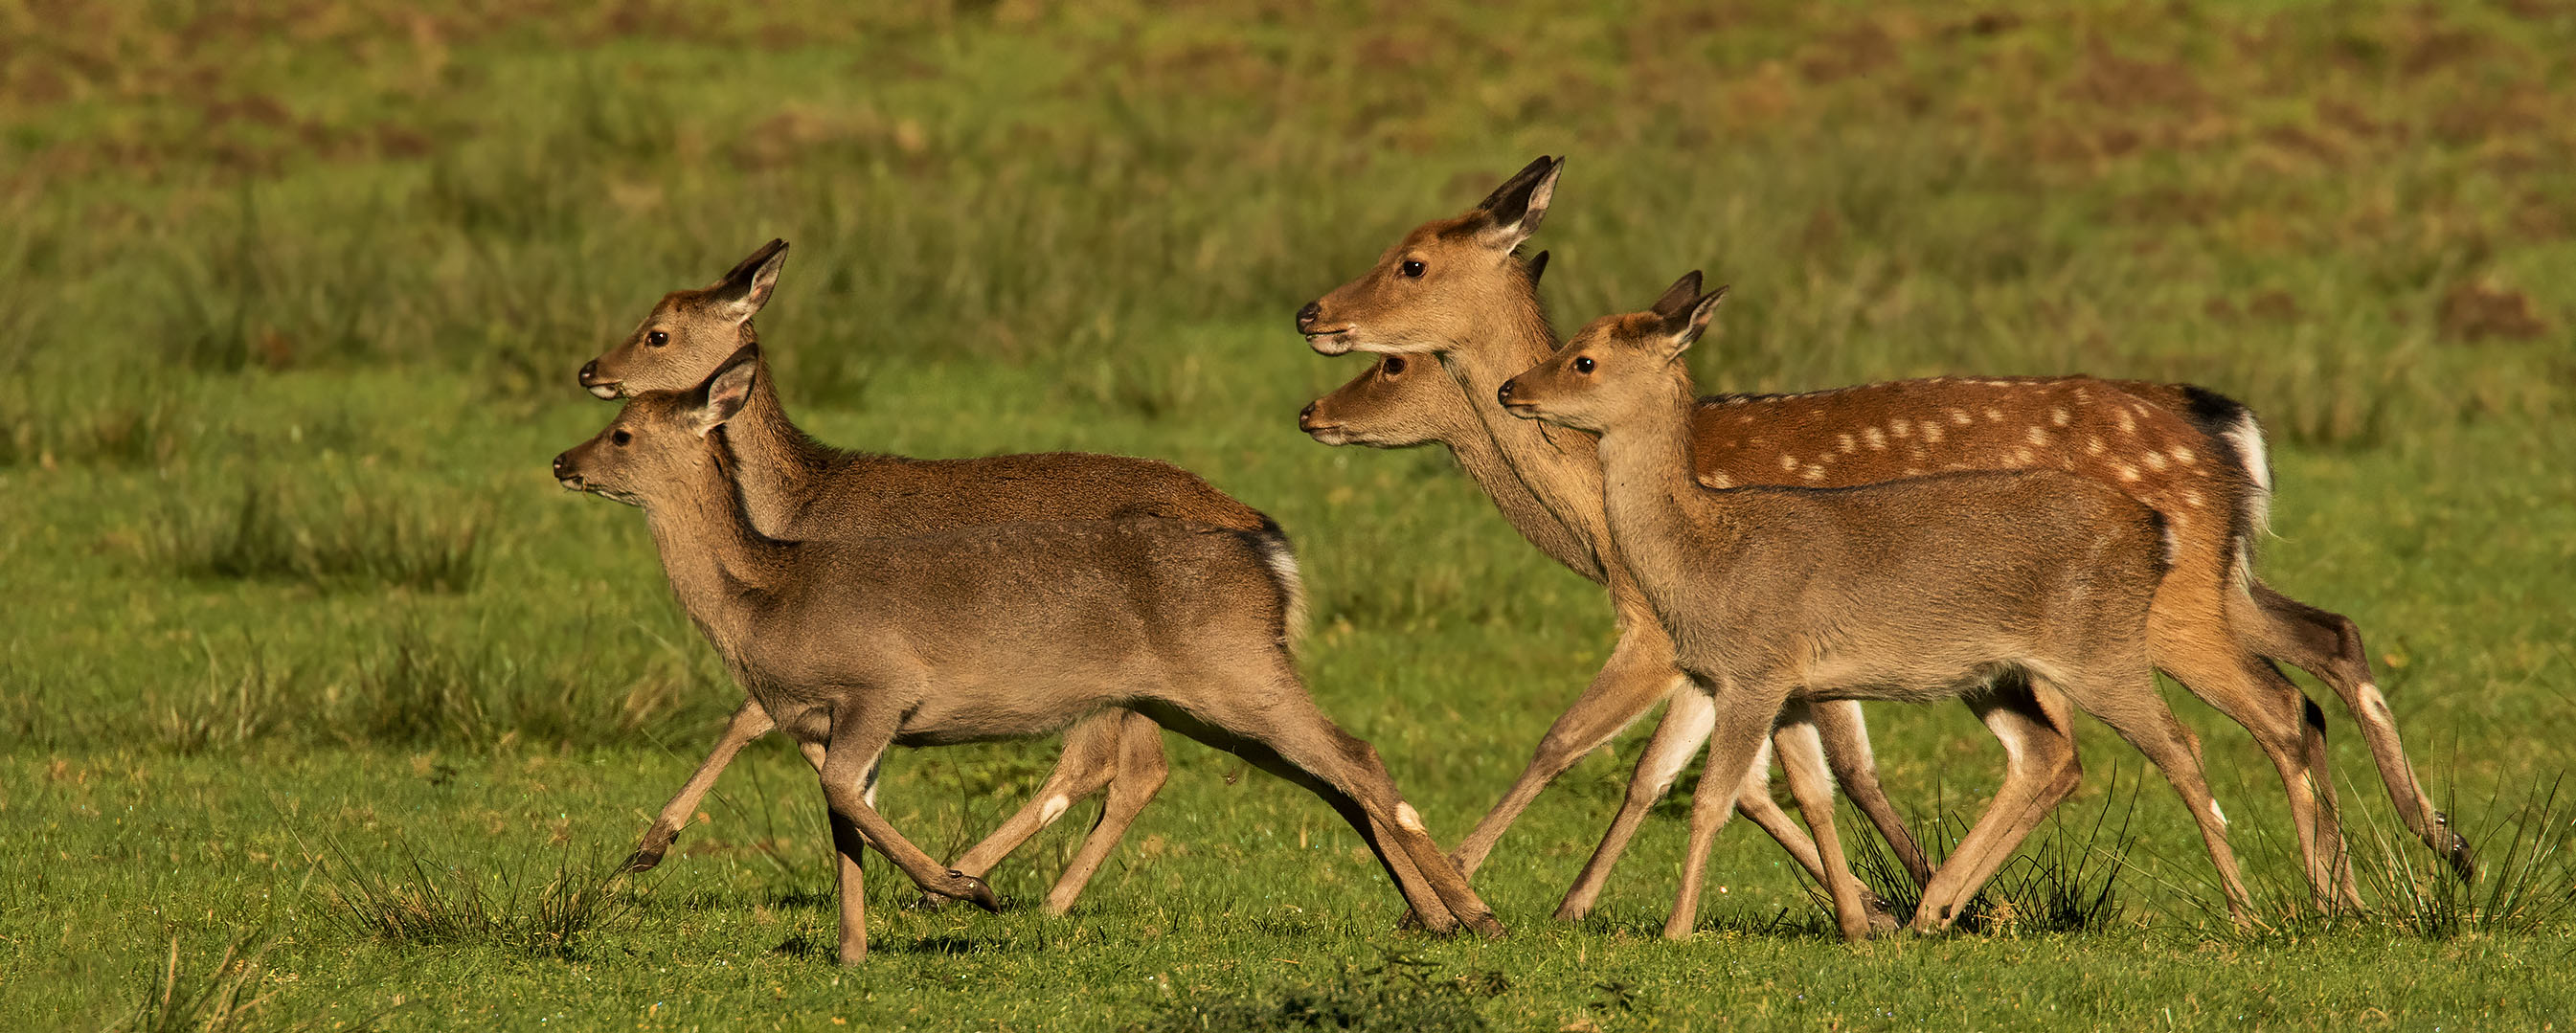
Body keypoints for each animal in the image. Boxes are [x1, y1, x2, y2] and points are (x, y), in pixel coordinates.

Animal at [551, 355, 1503, 968]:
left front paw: (962, 890)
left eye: (623, 432)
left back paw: (1476, 914)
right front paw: (852, 954)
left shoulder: (883, 687)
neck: (766, 596)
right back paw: (1438, 915)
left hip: (1238, 675)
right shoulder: (817, 721)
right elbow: (840, 815)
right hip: (1206, 699)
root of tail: (1270, 556)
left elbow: (843, 797)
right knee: (1329, 774)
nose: (563, 458)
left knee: (1357, 756)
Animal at [581, 239, 1226, 911]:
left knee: (1102, 763)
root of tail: (1240, 512)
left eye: (658, 332)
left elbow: (750, 717)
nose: (589, 370)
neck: (792, 508)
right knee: (1141, 769)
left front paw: (648, 848)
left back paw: (976, 884)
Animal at [1298, 325, 1936, 916]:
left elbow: (1571, 744)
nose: (1310, 412)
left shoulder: (1673, 641)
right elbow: (1732, 783)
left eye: (1393, 362)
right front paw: (1872, 904)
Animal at [1503, 275, 2246, 942]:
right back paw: (1935, 910)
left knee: (2180, 746)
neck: (1705, 555)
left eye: (1583, 359)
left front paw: (1676, 931)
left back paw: (2246, 913)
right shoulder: (1779, 685)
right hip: (2000, 672)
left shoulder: (1756, 670)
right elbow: (1804, 791)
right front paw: (1856, 922)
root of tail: (2157, 532)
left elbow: (1712, 798)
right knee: (2049, 753)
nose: (1512, 388)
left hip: (2100, 647)